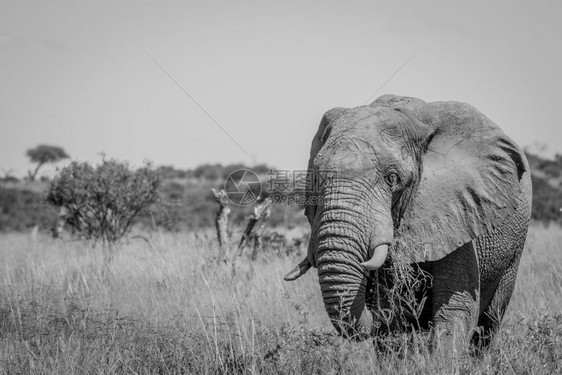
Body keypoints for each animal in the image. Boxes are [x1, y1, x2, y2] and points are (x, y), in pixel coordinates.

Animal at [284, 94, 528, 350]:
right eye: (315, 178)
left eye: (392, 178)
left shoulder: (458, 210)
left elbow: (456, 308)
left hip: (513, 253)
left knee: (489, 322)